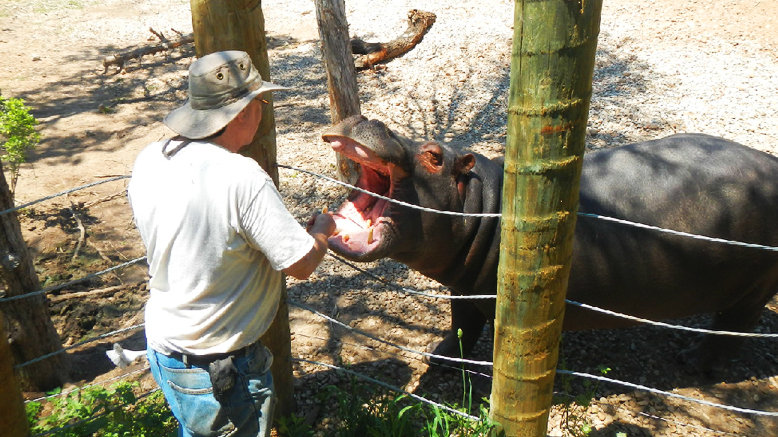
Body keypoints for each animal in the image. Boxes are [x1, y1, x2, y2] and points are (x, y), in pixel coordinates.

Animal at [320, 114, 776, 370]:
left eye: (434, 155)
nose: (366, 117)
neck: (482, 204)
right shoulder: (464, 288)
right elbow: (461, 326)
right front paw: (440, 358)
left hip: (754, 288)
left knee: (734, 326)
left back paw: (693, 362)